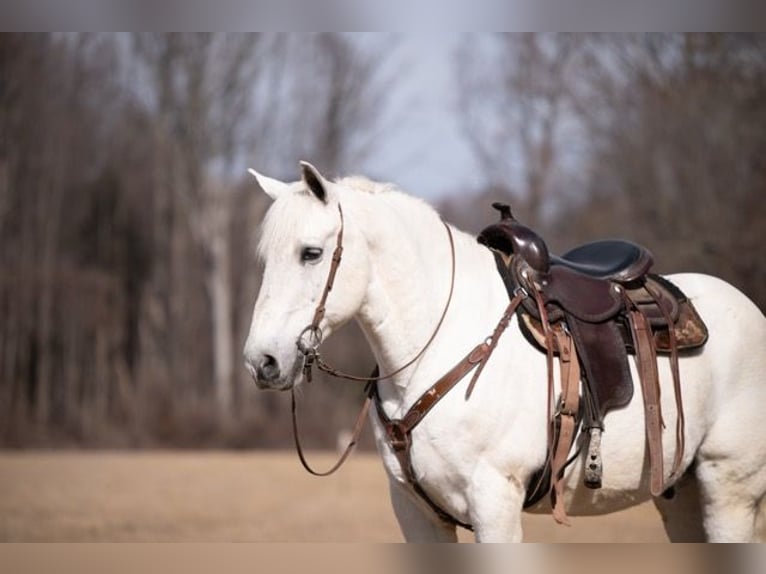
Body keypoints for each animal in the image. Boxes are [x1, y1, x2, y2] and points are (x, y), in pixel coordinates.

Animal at [244, 162, 766, 544]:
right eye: (265, 259)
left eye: (311, 253)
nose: (260, 362)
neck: (441, 346)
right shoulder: (417, 514)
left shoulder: (494, 502)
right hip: (680, 495)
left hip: (727, 490)